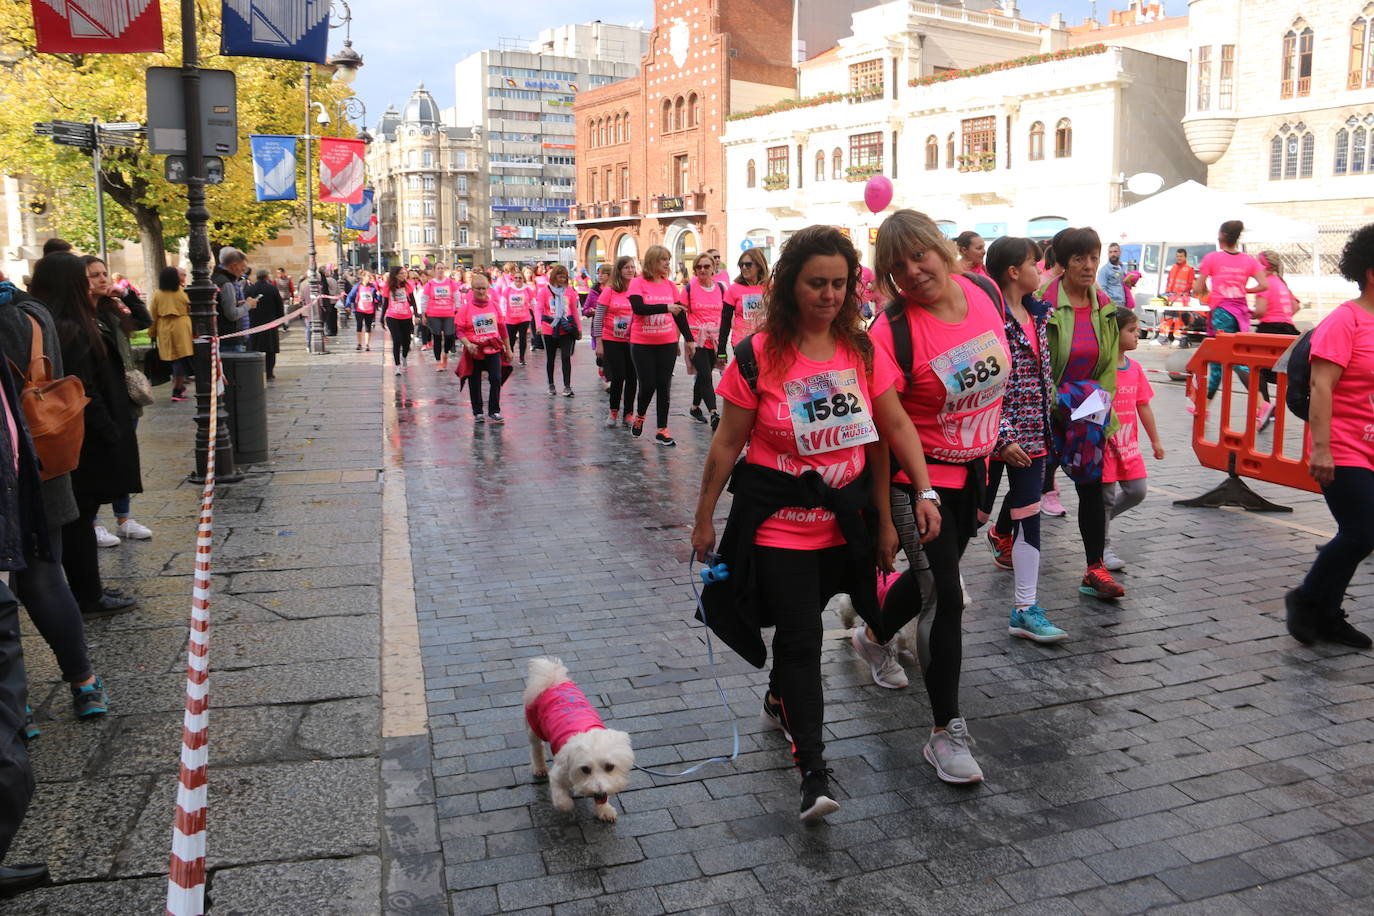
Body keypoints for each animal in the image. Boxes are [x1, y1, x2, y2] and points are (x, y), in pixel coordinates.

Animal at [522, 659, 634, 823]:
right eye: (585, 769)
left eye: (610, 767)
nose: (599, 794)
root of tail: (553, 680)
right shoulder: (558, 772)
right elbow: (560, 798)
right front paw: (567, 804)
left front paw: (604, 810)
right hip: (534, 725)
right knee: (536, 747)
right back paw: (540, 767)